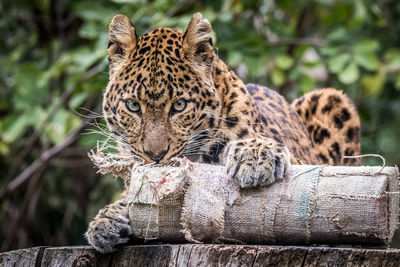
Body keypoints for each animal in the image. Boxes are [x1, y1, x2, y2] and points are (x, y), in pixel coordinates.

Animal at [86, 13, 360, 253]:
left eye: (179, 105)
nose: (155, 156)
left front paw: (257, 155)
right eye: (133, 106)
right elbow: (132, 194)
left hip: (331, 99)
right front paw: (106, 219)